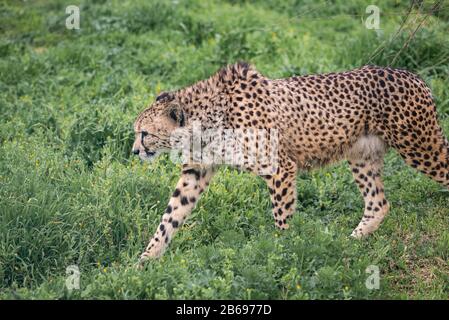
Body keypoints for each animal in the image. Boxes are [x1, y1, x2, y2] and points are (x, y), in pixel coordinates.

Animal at [134, 62, 448, 262]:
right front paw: (146, 259)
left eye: (144, 133)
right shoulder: (196, 171)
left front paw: (281, 251)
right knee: (378, 204)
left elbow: (281, 214)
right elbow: (170, 215)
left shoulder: (279, 167)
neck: (206, 120)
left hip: (420, 147)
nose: (135, 151)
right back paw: (352, 241)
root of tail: (413, 75)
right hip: (362, 156)